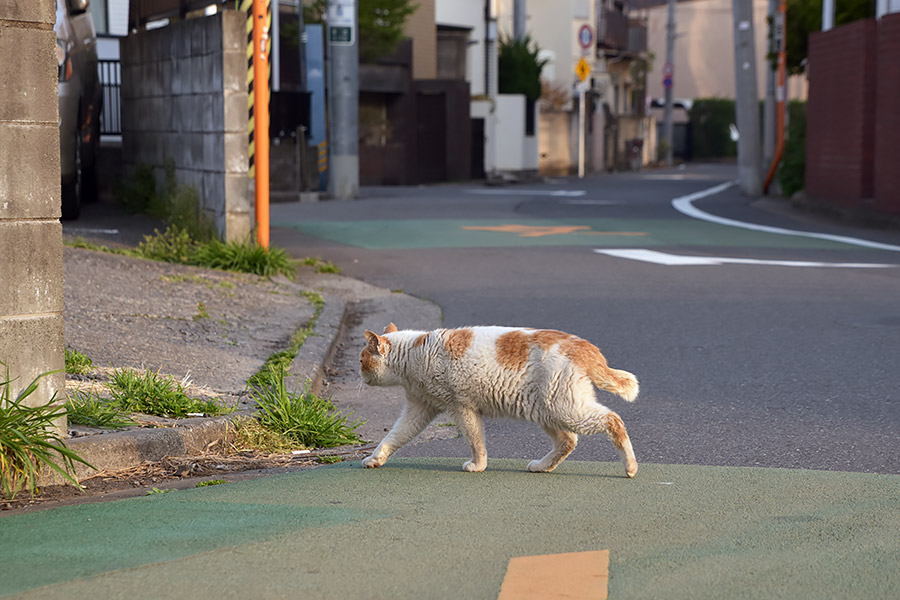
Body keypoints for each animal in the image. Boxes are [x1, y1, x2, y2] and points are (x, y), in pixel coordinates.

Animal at [358, 324, 640, 478]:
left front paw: (478, 465)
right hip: (546, 409)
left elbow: (475, 440)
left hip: (565, 409)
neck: (416, 351)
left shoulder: (463, 407)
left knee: (613, 420)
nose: (357, 372)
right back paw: (542, 466)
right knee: (568, 441)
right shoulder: (420, 408)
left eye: (361, 360)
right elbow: (394, 437)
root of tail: (585, 346)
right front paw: (375, 458)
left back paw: (631, 467)